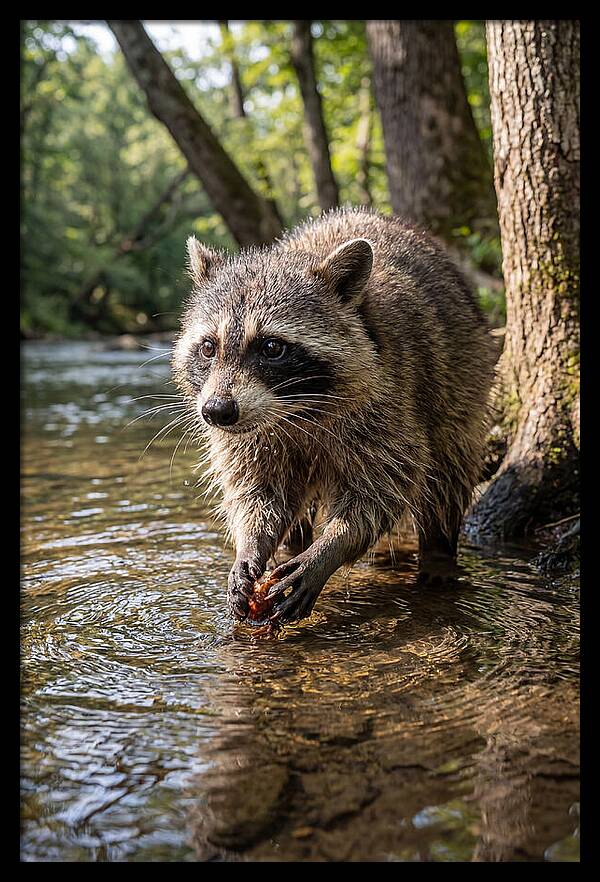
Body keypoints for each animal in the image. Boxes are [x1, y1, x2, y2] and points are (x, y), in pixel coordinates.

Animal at [172, 208, 495, 624]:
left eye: (271, 347)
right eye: (209, 348)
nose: (216, 412)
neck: (295, 409)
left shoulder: (389, 401)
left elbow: (383, 489)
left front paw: (331, 548)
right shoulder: (249, 435)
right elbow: (258, 491)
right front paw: (251, 543)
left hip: (462, 377)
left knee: (448, 473)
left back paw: (438, 551)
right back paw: (292, 544)